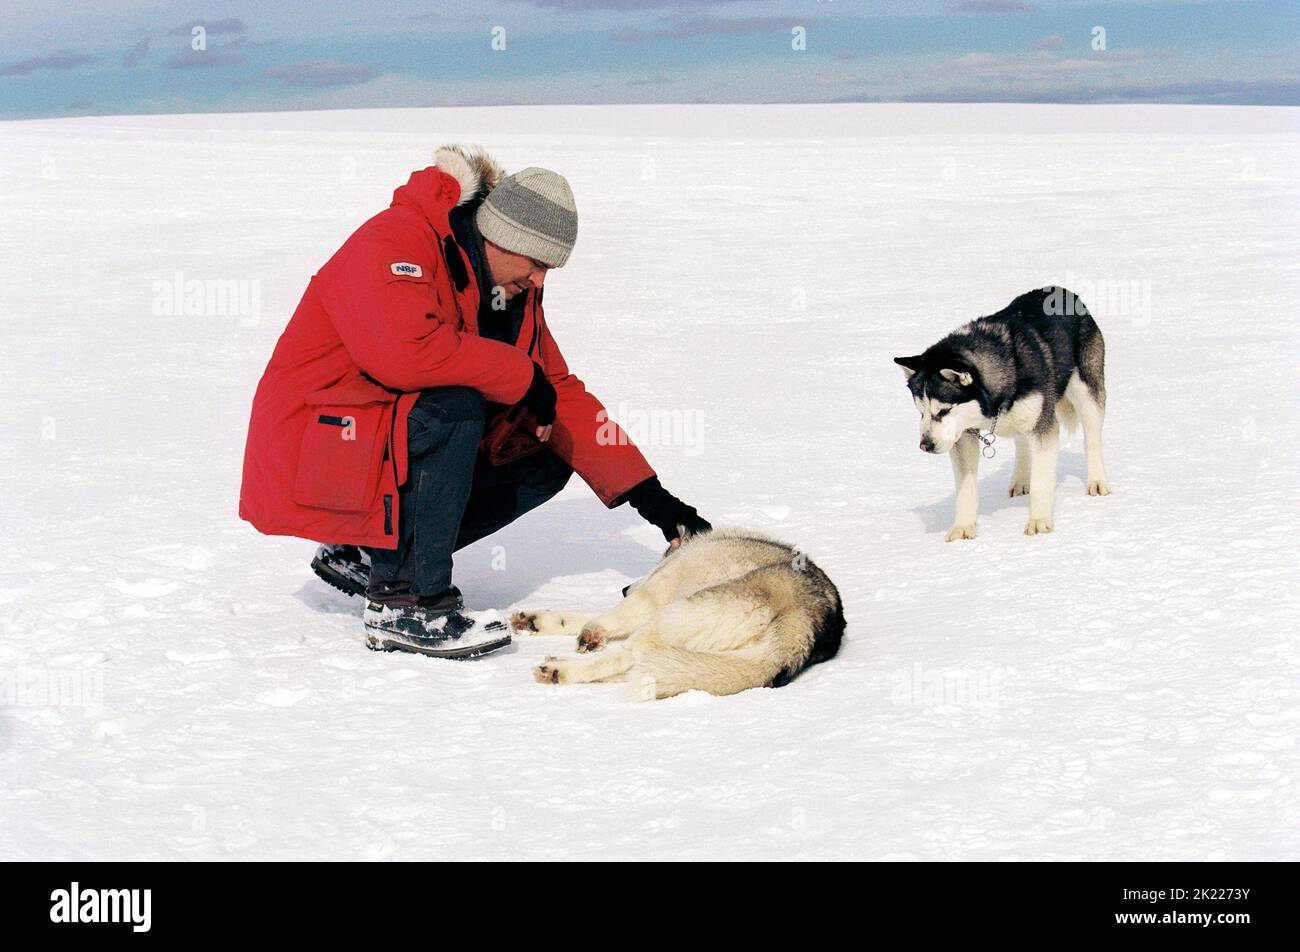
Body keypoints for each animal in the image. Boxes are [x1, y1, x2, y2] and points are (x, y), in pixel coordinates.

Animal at [899, 286, 1112, 538]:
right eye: (921, 412)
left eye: (944, 410)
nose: (926, 445)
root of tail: (1061, 291)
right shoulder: (964, 436)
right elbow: (966, 488)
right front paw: (963, 527)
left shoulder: (1043, 427)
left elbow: (1042, 482)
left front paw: (1038, 521)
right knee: (1022, 443)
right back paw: (1020, 480)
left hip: (1087, 392)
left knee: (1092, 439)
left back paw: (1097, 481)